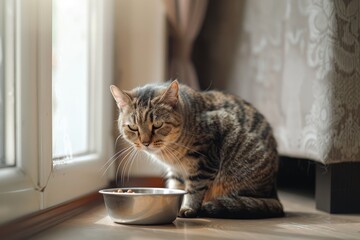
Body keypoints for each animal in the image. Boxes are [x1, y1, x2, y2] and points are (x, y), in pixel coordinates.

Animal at [109, 79, 284, 218]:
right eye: (133, 127)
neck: (170, 154)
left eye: (157, 125)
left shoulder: (205, 160)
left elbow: (195, 189)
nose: (145, 142)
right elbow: (177, 187)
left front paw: (188, 208)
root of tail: (275, 193)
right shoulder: (176, 171)